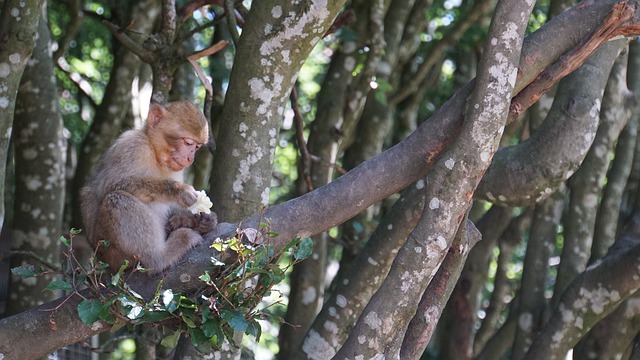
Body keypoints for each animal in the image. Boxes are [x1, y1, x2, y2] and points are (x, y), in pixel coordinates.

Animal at [80, 100, 218, 274]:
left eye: (198, 146)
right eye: (188, 142)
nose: (190, 158)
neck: (154, 152)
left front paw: (201, 219)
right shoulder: (131, 147)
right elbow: (110, 185)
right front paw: (178, 191)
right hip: (113, 253)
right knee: (117, 198)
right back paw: (160, 257)